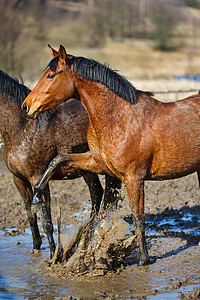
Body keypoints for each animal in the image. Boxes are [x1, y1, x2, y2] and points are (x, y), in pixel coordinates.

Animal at [0, 69, 120, 258]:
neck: (23, 128)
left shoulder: (38, 179)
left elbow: (47, 220)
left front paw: (52, 255)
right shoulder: (18, 180)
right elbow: (30, 215)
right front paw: (36, 247)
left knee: (107, 196)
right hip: (87, 169)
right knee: (97, 193)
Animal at [21, 44, 200, 264]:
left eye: (50, 75)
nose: (26, 107)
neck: (118, 119)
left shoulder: (134, 178)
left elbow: (138, 218)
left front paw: (143, 259)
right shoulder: (98, 162)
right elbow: (58, 159)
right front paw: (37, 195)